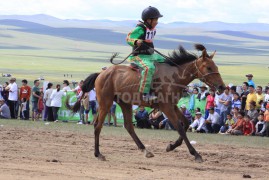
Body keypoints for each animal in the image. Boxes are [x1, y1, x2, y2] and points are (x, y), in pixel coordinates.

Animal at [66, 44, 224, 163]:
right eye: (209, 67)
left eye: (216, 67)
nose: (222, 87)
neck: (174, 76)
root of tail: (101, 74)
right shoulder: (166, 107)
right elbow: (179, 127)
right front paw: (196, 154)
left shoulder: (172, 106)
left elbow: (185, 123)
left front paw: (171, 146)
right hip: (106, 102)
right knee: (98, 126)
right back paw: (98, 154)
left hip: (124, 103)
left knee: (128, 126)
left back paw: (145, 150)